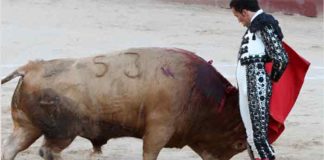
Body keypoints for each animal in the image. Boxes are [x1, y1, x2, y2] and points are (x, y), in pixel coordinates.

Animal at [1, 47, 247, 160]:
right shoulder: (159, 130)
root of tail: (31, 67)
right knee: (48, 151)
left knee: (11, 147)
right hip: (62, 133)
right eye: (239, 144)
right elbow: (150, 153)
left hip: (27, 126)